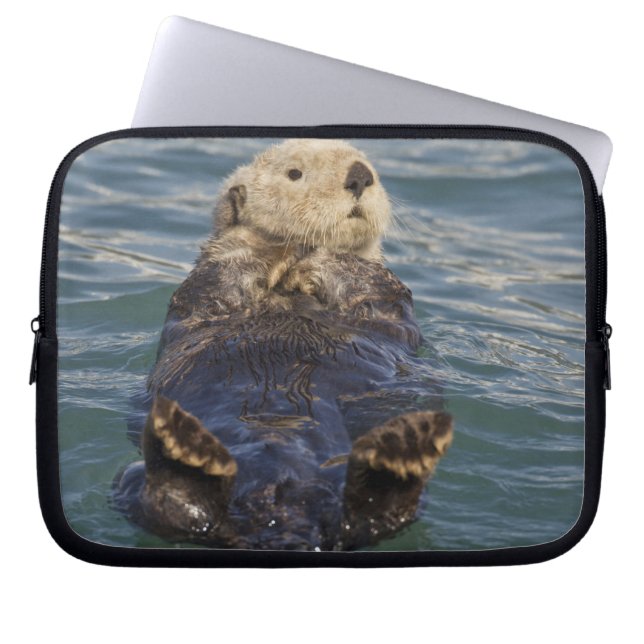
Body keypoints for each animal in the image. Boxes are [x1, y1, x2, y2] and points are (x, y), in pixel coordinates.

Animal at [114, 139, 453, 551]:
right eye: (295, 173)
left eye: (370, 165)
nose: (360, 176)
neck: (287, 291)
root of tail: (285, 514)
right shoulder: (206, 292)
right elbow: (225, 274)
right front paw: (268, 248)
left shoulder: (384, 297)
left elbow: (365, 282)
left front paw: (320, 256)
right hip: (130, 479)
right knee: (172, 511)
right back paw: (182, 454)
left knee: (373, 520)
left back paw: (398, 457)